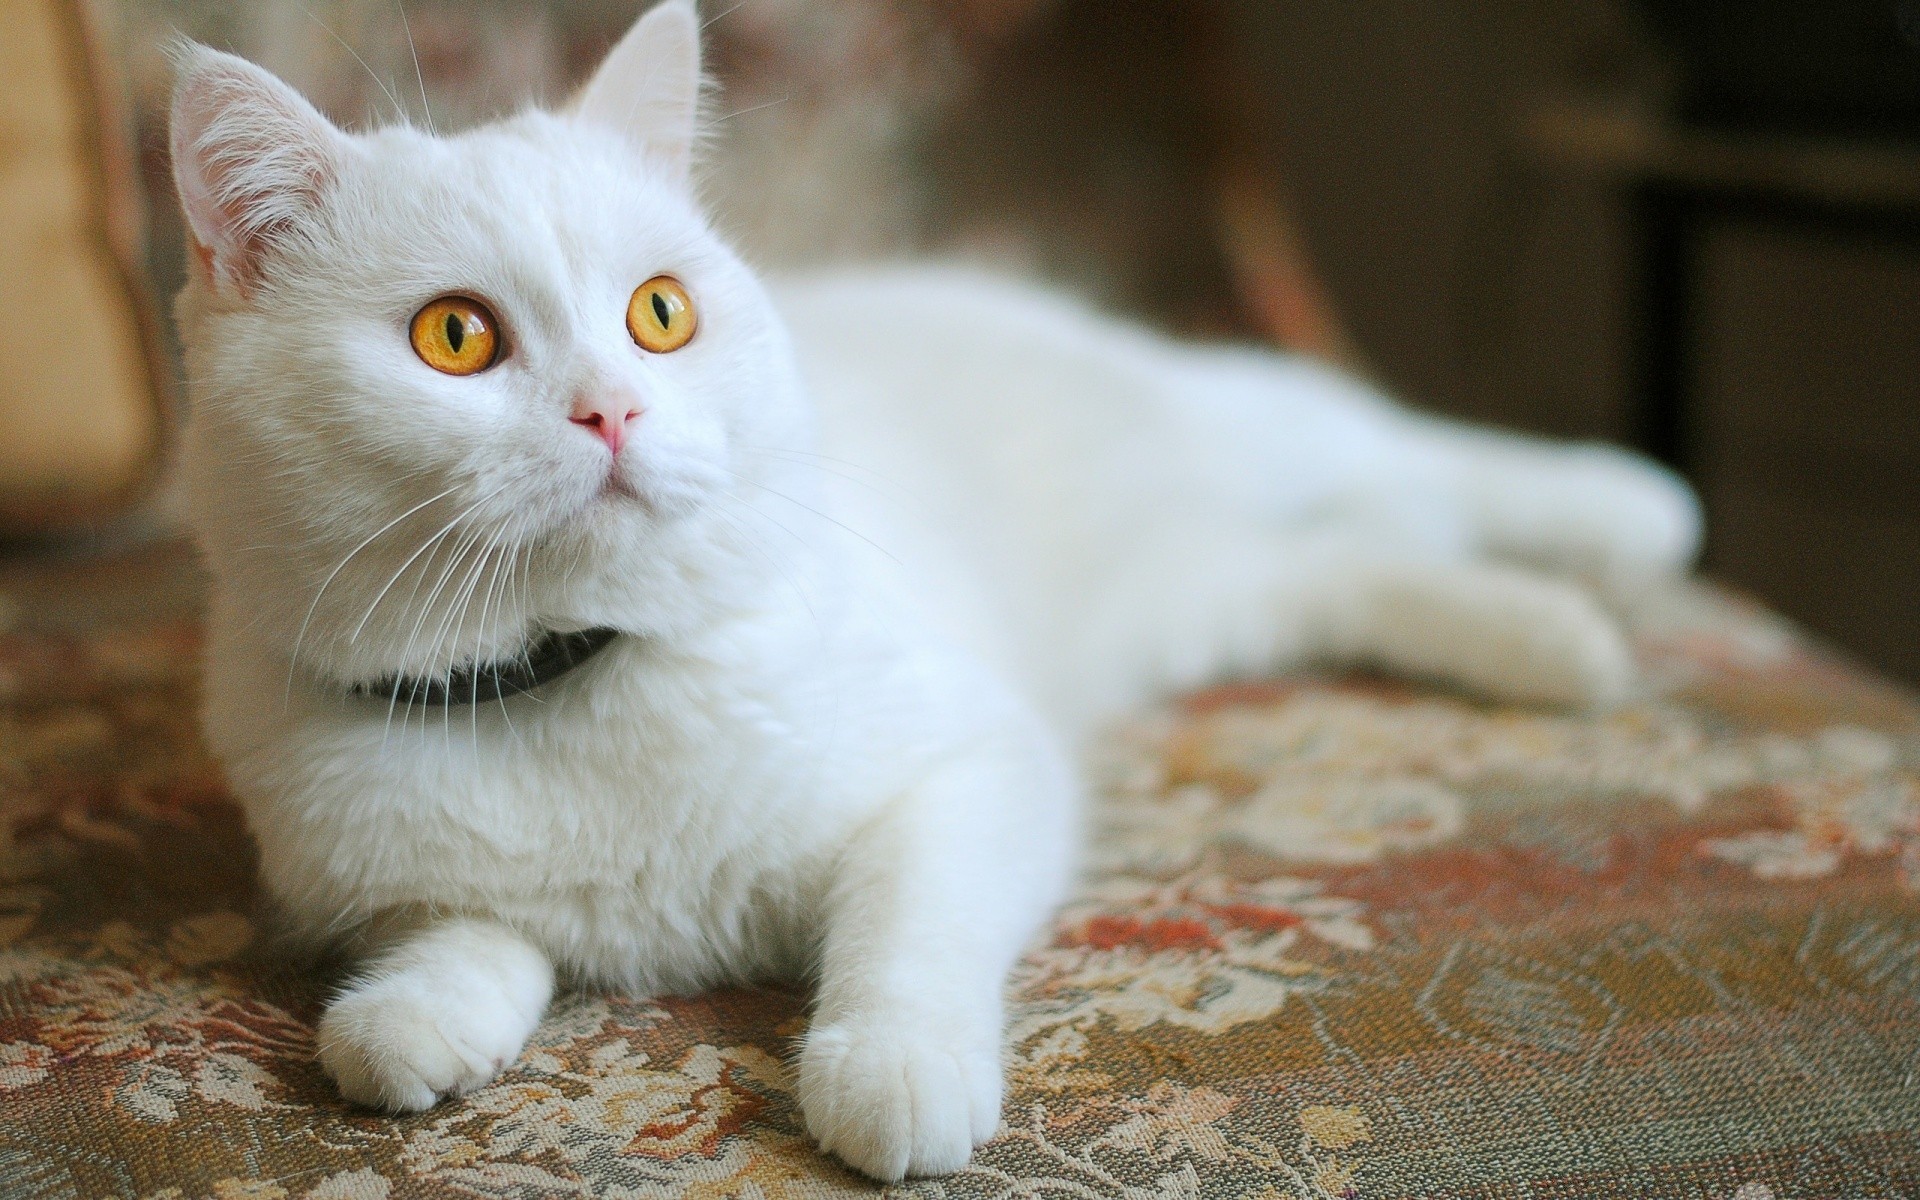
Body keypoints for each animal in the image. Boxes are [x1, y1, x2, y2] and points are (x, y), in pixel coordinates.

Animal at [165, 0, 1697, 1182]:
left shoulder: (972, 764)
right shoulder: (388, 879)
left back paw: (1619, 525)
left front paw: (888, 1076)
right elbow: (457, 945)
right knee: (1354, 555)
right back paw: (1552, 637)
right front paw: (410, 1021)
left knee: (1398, 448)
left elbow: (910, 921)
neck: (580, 670)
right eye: (454, 337)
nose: (612, 411)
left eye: (662, 311)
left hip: (1243, 429)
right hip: (1201, 593)